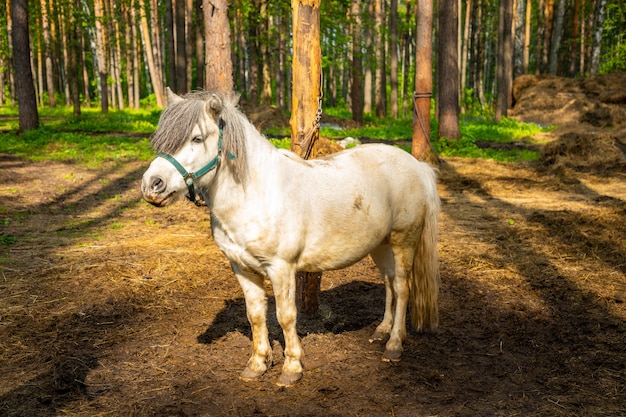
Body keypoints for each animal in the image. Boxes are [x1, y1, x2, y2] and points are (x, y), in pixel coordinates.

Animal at [141, 91, 438, 386]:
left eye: (197, 138)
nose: (151, 185)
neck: (256, 194)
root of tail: (416, 165)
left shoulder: (281, 268)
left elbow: (285, 317)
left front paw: (292, 367)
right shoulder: (242, 268)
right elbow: (256, 315)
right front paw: (258, 364)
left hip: (403, 241)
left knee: (402, 288)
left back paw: (394, 345)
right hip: (380, 245)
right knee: (389, 284)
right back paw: (381, 331)